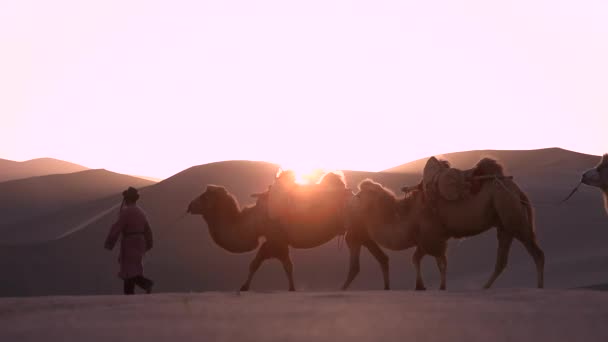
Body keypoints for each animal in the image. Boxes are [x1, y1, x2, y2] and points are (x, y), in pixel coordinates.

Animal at [185, 171, 390, 292]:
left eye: (204, 197)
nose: (189, 205)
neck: (253, 221)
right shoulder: (274, 241)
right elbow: (269, 263)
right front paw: (246, 287)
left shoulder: (275, 240)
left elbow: (272, 264)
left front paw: (246, 287)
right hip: (361, 231)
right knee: (381, 258)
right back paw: (385, 288)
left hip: (354, 230)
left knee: (358, 262)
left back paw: (342, 289)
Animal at [346, 159, 548, 290]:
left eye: (360, 195)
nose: (351, 201)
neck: (406, 215)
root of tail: (518, 190)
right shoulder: (426, 239)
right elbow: (420, 259)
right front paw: (422, 286)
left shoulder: (432, 235)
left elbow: (437, 261)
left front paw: (439, 287)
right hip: (503, 222)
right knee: (502, 259)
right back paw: (485, 287)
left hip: (510, 212)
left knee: (535, 250)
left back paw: (539, 287)